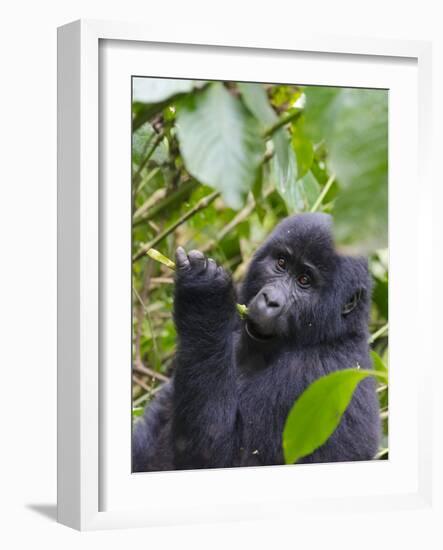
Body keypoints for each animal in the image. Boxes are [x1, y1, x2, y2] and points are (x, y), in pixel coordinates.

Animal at [133, 213, 382, 472]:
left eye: (304, 280)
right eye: (281, 263)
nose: (270, 300)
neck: (333, 333)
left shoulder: (313, 373)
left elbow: (216, 457)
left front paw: (203, 295)